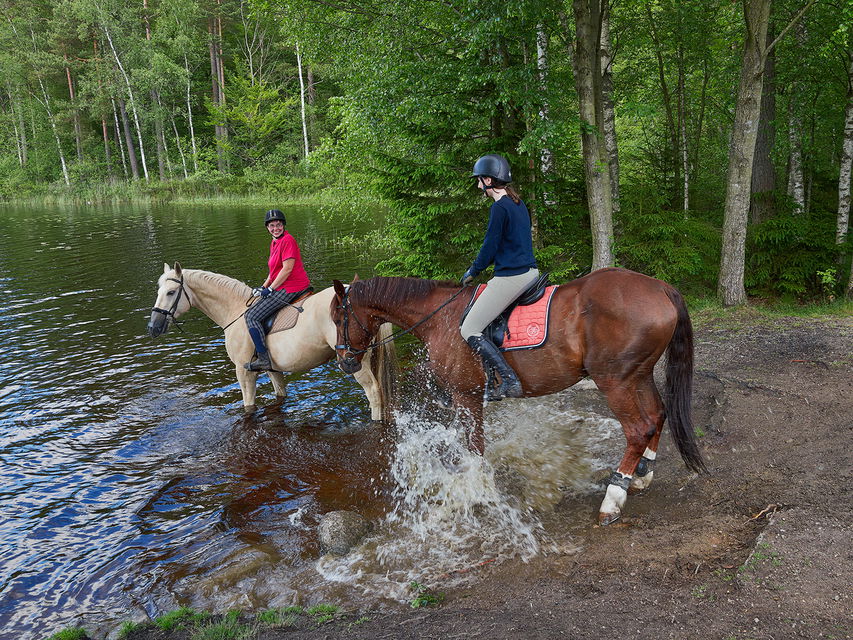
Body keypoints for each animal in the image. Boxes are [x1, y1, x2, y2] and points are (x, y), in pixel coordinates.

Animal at [148, 262, 394, 422]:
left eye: (171, 292)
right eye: (159, 291)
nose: (153, 327)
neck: (235, 311)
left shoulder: (243, 372)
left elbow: (248, 406)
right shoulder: (272, 369)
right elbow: (280, 395)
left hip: (354, 360)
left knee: (374, 393)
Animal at [332, 268, 704, 524]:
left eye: (338, 317)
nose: (345, 361)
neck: (440, 318)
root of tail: (661, 287)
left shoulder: (467, 396)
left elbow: (475, 448)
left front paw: (479, 492)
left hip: (615, 381)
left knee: (638, 428)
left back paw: (612, 499)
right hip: (638, 375)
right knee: (657, 415)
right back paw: (642, 477)